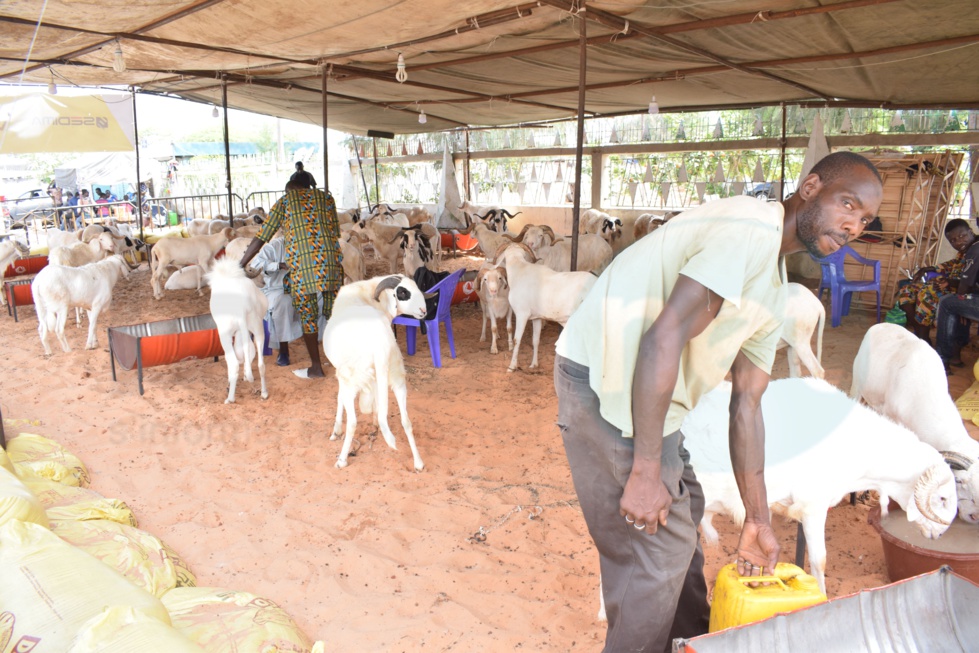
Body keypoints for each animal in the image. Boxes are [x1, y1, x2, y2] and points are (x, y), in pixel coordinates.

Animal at [207, 256, 268, 402]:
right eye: (251, 269)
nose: (264, 282)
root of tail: (241, 306)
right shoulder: (243, 331)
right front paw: (246, 375)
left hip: (224, 334)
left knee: (233, 363)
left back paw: (230, 398)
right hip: (257, 327)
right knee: (260, 364)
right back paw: (264, 393)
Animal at [324, 274, 430, 468]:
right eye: (403, 292)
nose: (423, 310)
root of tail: (379, 340)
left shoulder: (342, 374)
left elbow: (339, 398)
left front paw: (336, 431)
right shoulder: (375, 376)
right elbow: (377, 400)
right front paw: (374, 423)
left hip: (352, 378)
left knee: (353, 422)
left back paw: (342, 459)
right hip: (396, 373)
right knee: (406, 420)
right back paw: (418, 462)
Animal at [490, 242, 596, 372]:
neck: (519, 271)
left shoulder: (521, 314)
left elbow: (516, 340)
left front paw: (512, 366)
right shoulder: (537, 317)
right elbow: (535, 340)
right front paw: (534, 364)